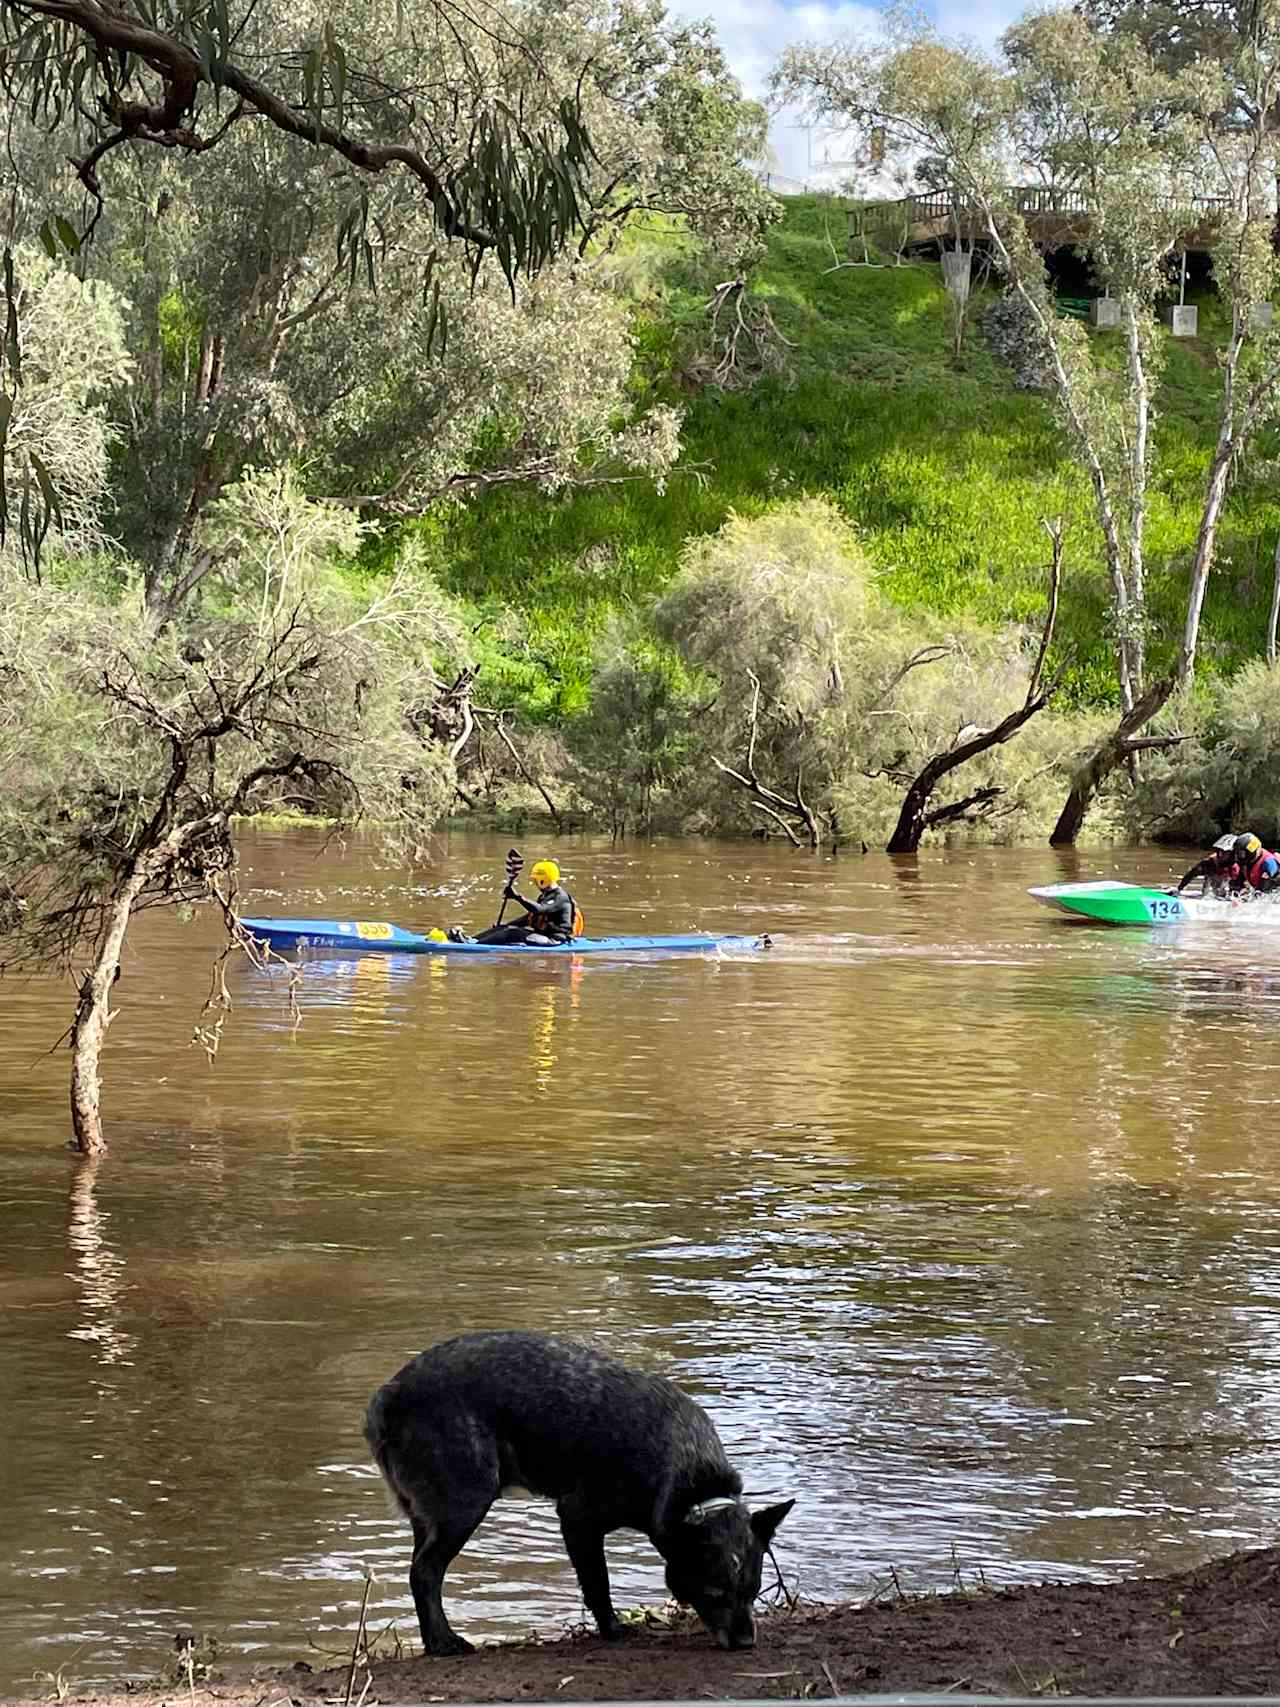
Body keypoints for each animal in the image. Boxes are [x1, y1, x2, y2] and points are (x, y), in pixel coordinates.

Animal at [365, 1331, 798, 1652]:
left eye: (754, 1591)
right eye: (715, 1592)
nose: (745, 1642)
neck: (691, 1477)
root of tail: (390, 1394)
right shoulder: (577, 1519)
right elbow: (598, 1583)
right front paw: (613, 1630)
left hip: (430, 1517)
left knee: (420, 1574)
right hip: (466, 1504)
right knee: (425, 1573)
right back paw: (444, 1642)